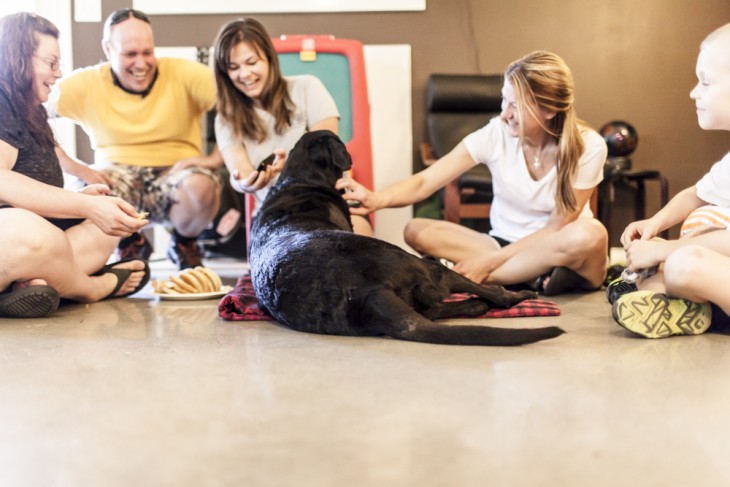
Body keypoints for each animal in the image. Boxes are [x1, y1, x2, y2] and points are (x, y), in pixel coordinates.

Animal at [250, 131, 564, 346]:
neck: (299, 181)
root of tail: (369, 292)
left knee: (433, 309)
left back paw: (474, 306)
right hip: (424, 264)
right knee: (488, 292)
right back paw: (515, 297)